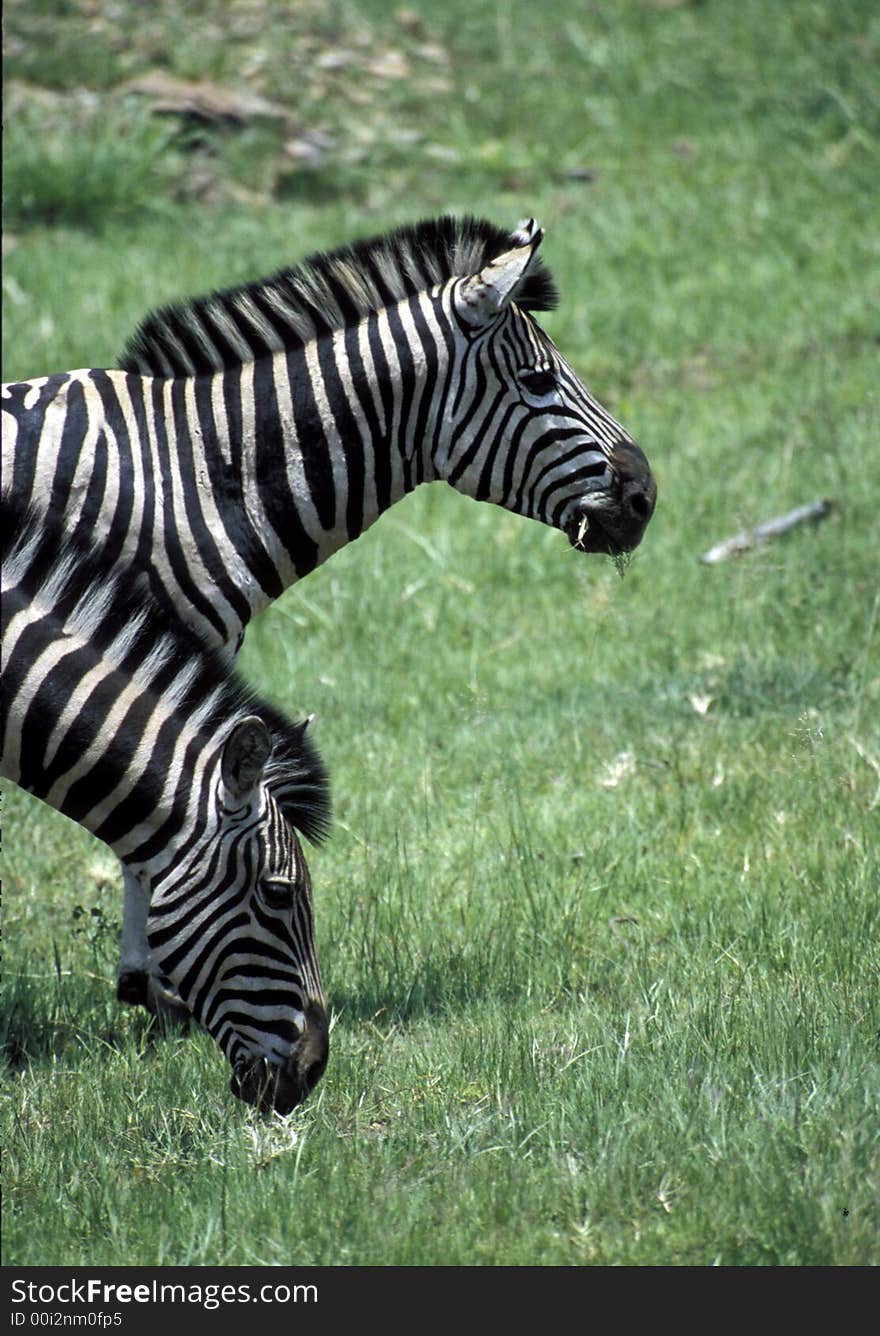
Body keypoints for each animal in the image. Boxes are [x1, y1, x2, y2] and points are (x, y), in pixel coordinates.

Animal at [3, 213, 656, 1004]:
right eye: (537, 380)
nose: (645, 498)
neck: (191, 474)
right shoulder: (132, 646)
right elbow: (151, 815)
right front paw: (156, 994)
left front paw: (148, 986)